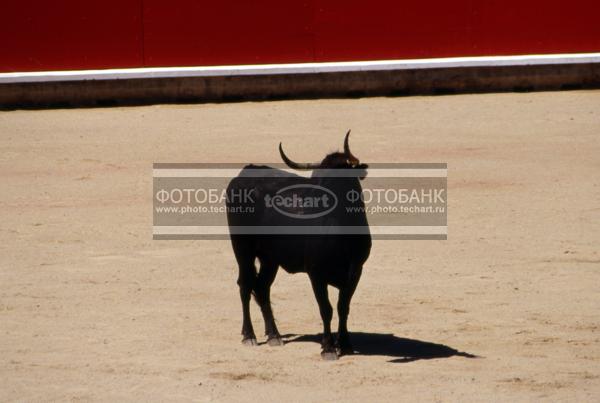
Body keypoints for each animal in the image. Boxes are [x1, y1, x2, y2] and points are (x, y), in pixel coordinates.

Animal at [227, 132, 372, 360]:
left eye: (339, 177)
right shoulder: (316, 274)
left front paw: (346, 344)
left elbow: (343, 307)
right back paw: (249, 336)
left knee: (262, 287)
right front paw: (328, 348)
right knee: (245, 284)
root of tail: (245, 172)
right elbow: (326, 309)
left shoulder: (356, 271)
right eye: (317, 178)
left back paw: (274, 336)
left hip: (270, 258)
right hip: (242, 249)